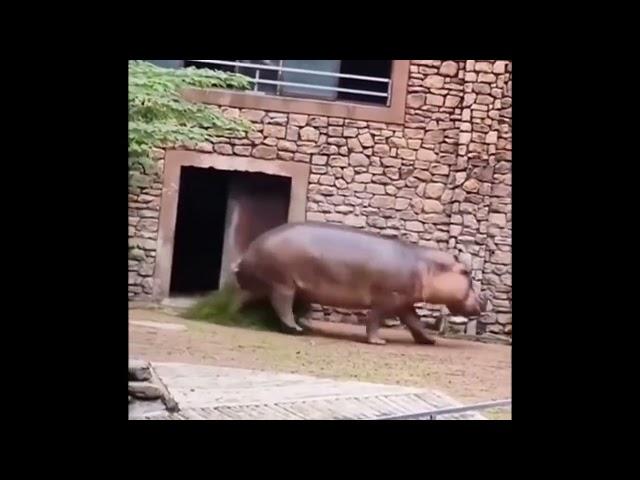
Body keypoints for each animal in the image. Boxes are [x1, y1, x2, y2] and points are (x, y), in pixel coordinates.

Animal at [232, 221, 488, 344]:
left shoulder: (404, 303)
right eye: (466, 272)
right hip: (284, 285)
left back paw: (235, 317)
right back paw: (295, 330)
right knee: (282, 306)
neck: (426, 265)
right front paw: (378, 342)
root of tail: (248, 252)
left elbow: (415, 323)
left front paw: (429, 341)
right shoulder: (386, 300)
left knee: (244, 298)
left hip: (275, 286)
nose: (483, 302)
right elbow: (374, 320)